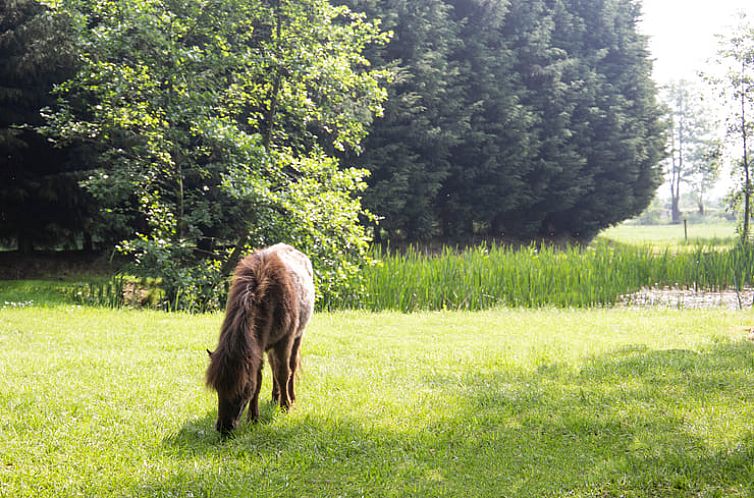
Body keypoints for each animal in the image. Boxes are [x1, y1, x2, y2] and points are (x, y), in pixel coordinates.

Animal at [204, 243, 312, 434]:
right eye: (217, 389)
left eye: (241, 390)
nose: (224, 428)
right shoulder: (257, 348)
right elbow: (260, 380)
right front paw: (253, 417)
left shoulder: (284, 341)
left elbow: (283, 373)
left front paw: (285, 406)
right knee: (274, 366)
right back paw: (275, 397)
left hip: (297, 338)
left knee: (290, 367)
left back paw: (290, 397)